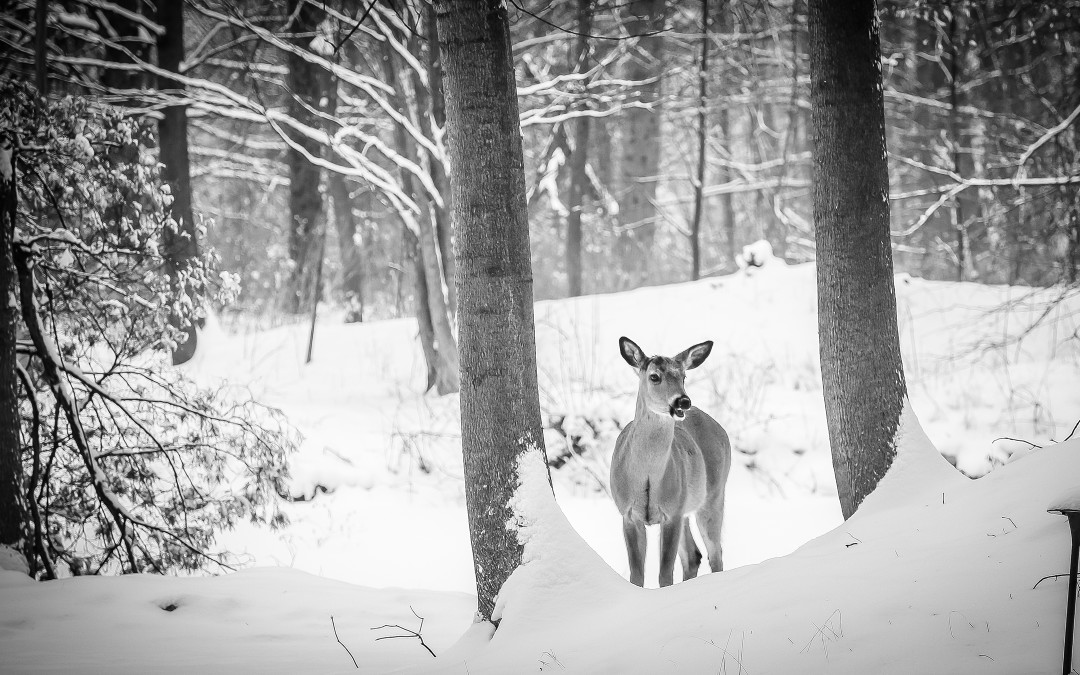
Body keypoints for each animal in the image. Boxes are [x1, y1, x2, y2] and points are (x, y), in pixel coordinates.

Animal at [613, 334, 730, 583]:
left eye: (683, 376)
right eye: (654, 376)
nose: (683, 401)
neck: (647, 475)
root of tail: (720, 428)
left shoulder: (671, 514)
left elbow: (665, 575)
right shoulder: (628, 514)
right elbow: (637, 575)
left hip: (714, 496)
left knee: (715, 554)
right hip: (687, 506)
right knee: (693, 555)